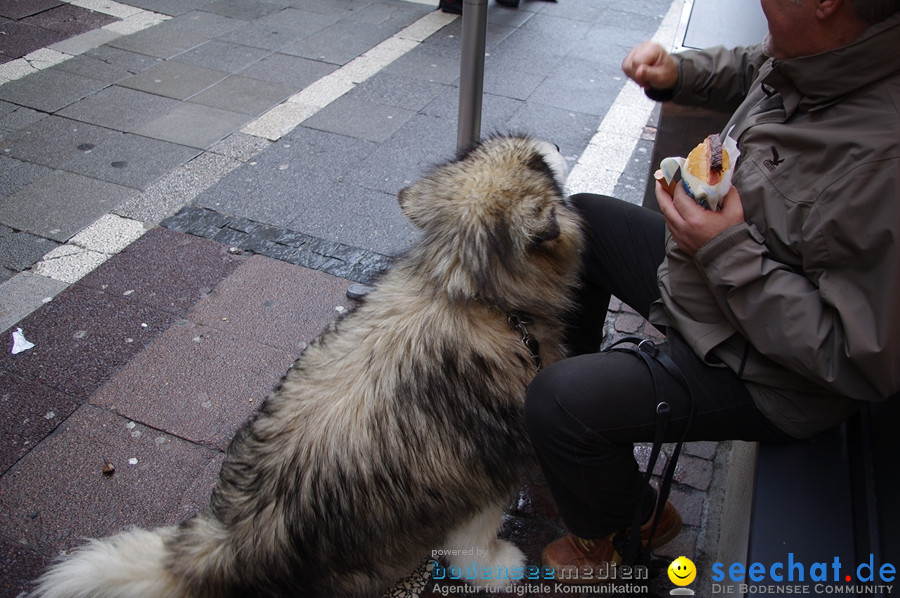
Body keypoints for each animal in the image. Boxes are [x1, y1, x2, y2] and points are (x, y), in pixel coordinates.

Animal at [33, 136, 584, 598]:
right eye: (537, 163)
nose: (558, 146)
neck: (469, 293)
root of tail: (230, 540)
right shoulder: (489, 466)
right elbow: (476, 538)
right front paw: (498, 566)